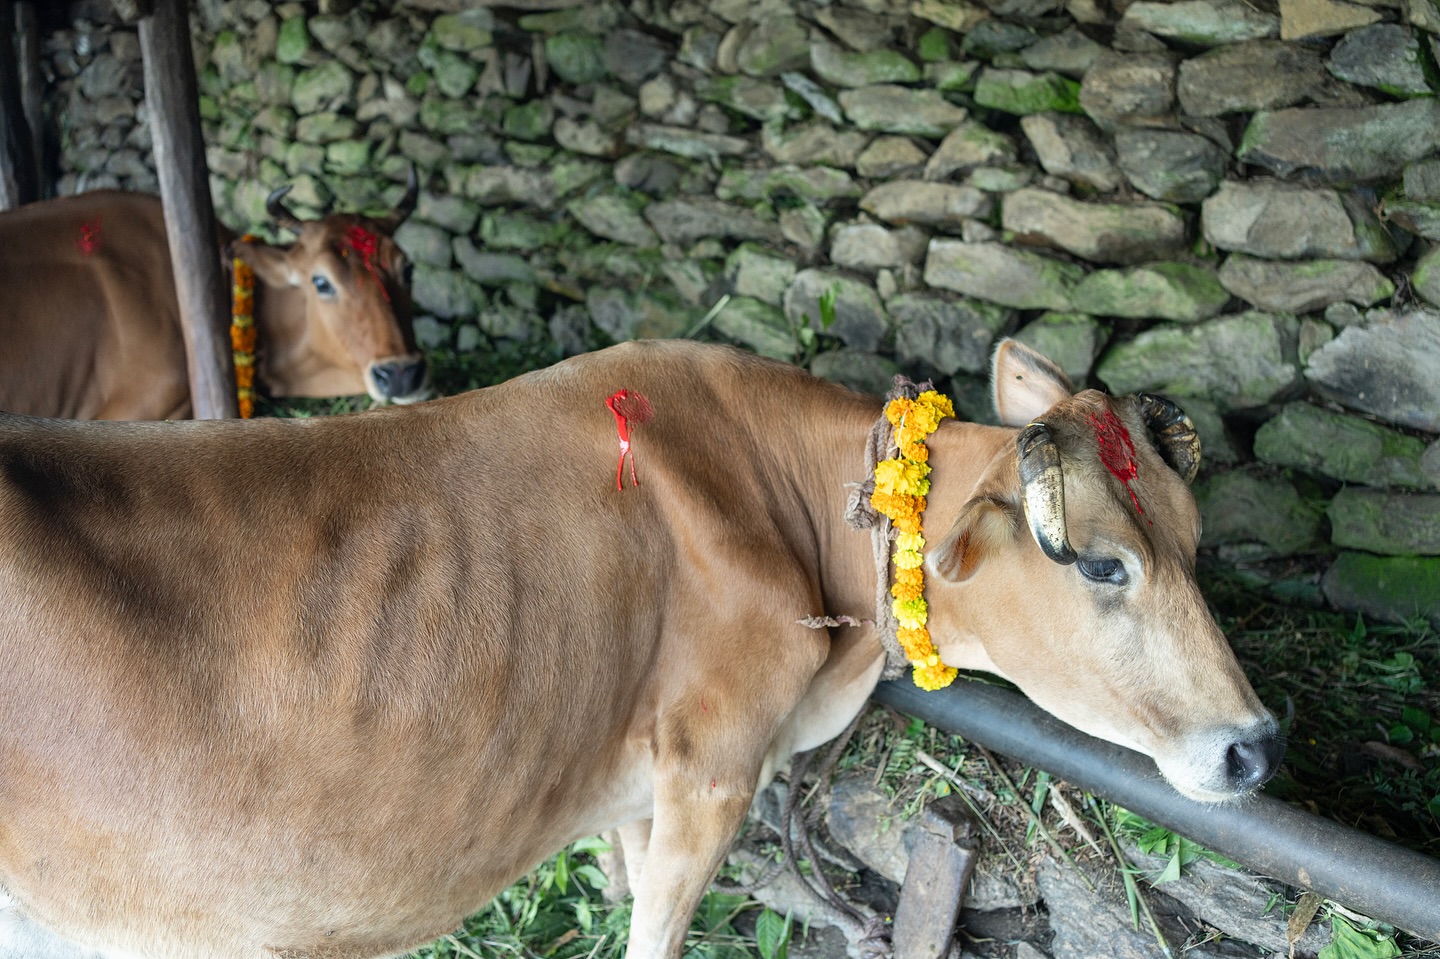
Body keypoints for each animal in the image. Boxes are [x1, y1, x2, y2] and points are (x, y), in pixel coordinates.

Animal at [0, 338, 1281, 959]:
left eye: (1194, 539)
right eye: (1103, 563)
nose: (1256, 749)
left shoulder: (627, 766)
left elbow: (614, 873)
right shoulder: (712, 767)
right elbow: (653, 927)